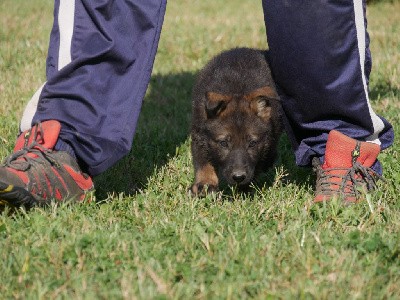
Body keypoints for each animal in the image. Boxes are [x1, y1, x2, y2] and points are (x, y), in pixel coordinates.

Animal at [190, 47, 282, 196]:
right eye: (223, 143)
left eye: (252, 143)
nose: (239, 177)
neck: (236, 90)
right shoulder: (199, 134)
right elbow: (203, 161)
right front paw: (205, 183)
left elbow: (256, 166)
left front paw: (243, 191)